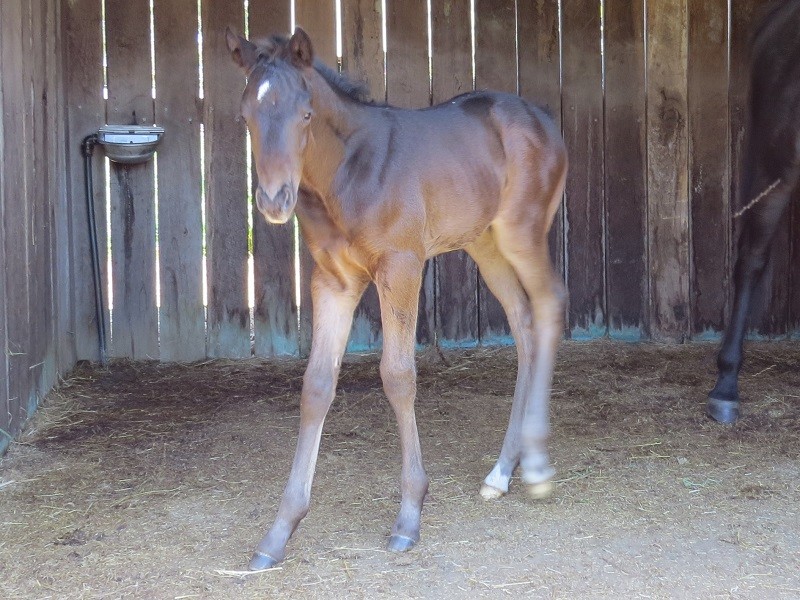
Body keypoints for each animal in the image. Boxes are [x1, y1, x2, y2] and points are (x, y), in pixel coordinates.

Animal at [225, 29, 568, 572]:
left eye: (305, 113)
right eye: (247, 117)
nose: (274, 199)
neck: (348, 172)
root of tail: (543, 120)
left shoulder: (402, 266)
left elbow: (398, 376)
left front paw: (409, 516)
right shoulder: (333, 281)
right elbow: (316, 386)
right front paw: (279, 532)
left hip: (523, 232)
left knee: (550, 303)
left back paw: (534, 466)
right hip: (485, 242)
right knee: (523, 324)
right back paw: (501, 472)